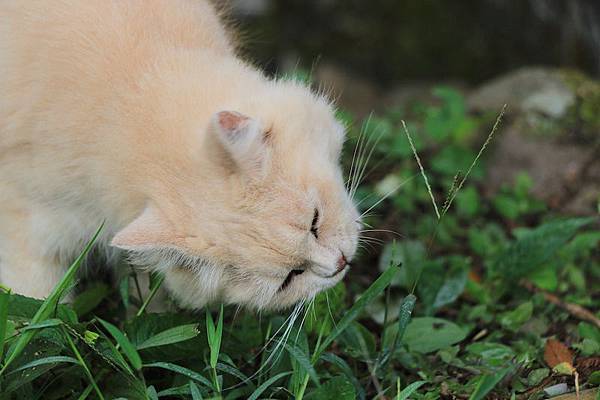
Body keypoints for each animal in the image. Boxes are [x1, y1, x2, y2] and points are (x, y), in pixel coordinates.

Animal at [0, 0, 356, 310]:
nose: (340, 264)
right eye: (289, 279)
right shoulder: (29, 225)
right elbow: (39, 313)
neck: (127, 102)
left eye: (315, 221)